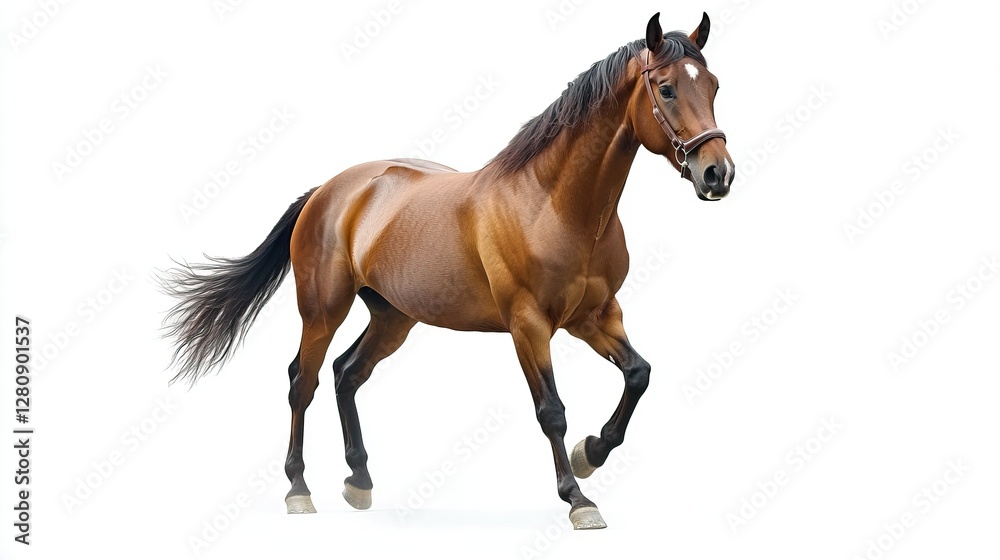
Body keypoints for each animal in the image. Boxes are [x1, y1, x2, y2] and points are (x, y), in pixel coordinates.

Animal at [159, 12, 734, 530]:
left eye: (713, 85)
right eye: (666, 89)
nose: (717, 173)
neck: (554, 204)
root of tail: (329, 190)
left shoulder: (595, 316)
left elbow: (639, 374)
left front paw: (590, 452)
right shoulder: (529, 325)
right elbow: (551, 409)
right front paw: (578, 499)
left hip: (393, 317)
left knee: (347, 374)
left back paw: (359, 482)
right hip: (322, 310)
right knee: (303, 380)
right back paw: (299, 490)